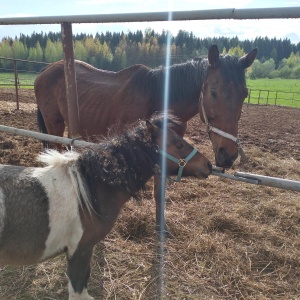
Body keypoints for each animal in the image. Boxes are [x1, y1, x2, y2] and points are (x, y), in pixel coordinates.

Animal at [34, 44, 255, 231]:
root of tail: (44, 72)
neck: (157, 98)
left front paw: (161, 227)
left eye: (244, 94)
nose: (228, 155)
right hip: (54, 126)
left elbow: (160, 193)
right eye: (213, 92)